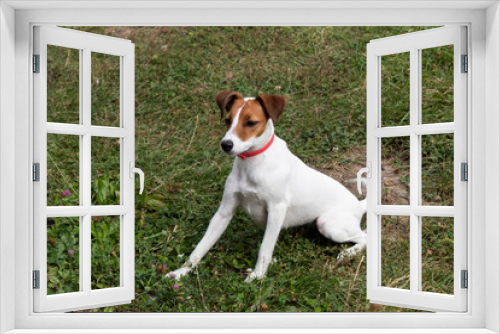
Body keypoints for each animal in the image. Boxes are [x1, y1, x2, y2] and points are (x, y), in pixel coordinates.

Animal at [169, 90, 368, 282]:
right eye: (227, 120)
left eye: (251, 122)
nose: (225, 145)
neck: (252, 163)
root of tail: (359, 205)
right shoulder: (224, 211)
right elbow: (201, 246)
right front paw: (181, 271)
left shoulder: (276, 210)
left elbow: (265, 248)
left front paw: (257, 276)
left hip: (328, 223)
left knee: (365, 237)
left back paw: (348, 253)